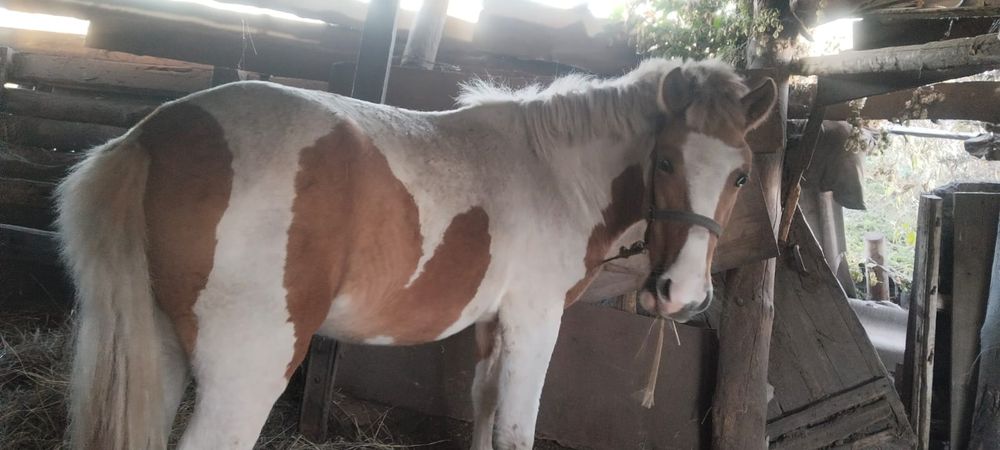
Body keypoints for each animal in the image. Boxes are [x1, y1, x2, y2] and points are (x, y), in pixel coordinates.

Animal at [55, 58, 775, 450]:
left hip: (160, 347)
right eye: (665, 161)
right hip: (248, 369)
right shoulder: (535, 321)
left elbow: (483, 406)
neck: (551, 172)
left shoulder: (491, 324)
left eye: (741, 175)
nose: (682, 294)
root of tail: (154, 138)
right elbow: (515, 427)